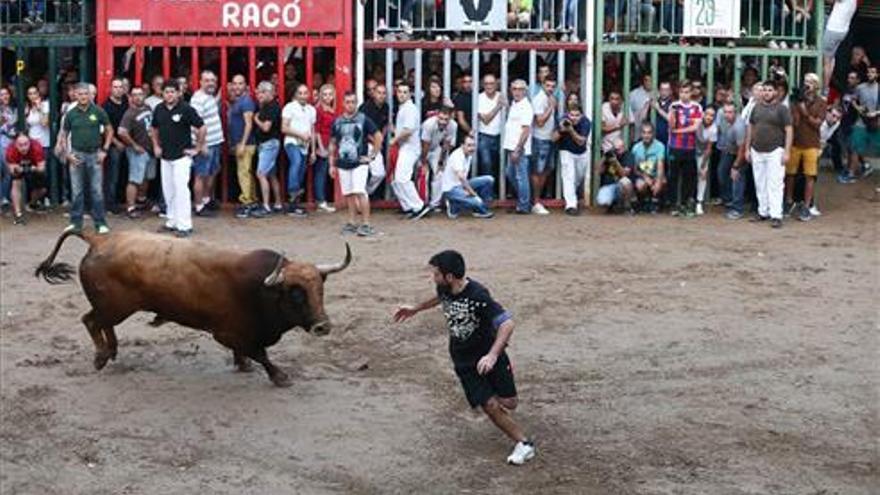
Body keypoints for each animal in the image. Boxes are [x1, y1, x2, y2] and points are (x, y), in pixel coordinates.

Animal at [35, 230, 350, 388]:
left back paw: (111, 351)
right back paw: (101, 356)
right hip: (116, 306)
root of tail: (99, 239)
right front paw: (279, 376)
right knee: (90, 321)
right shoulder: (226, 333)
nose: (323, 326)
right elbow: (259, 353)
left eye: (320, 289)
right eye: (295, 294)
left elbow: (248, 352)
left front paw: (243, 365)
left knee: (102, 323)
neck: (261, 289)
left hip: (113, 307)